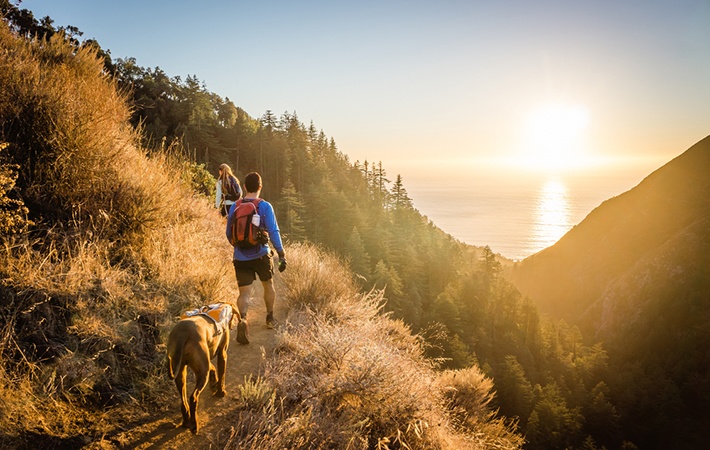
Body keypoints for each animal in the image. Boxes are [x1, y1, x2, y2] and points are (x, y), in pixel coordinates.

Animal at [167, 302, 239, 432]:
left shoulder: (205, 359)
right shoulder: (222, 354)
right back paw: (194, 424)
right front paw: (220, 391)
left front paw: (214, 382)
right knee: (193, 397)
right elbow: (222, 374)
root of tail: (182, 333)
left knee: (183, 400)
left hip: (181, 371)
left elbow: (213, 367)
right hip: (202, 373)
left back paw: (186, 421)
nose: (231, 326)